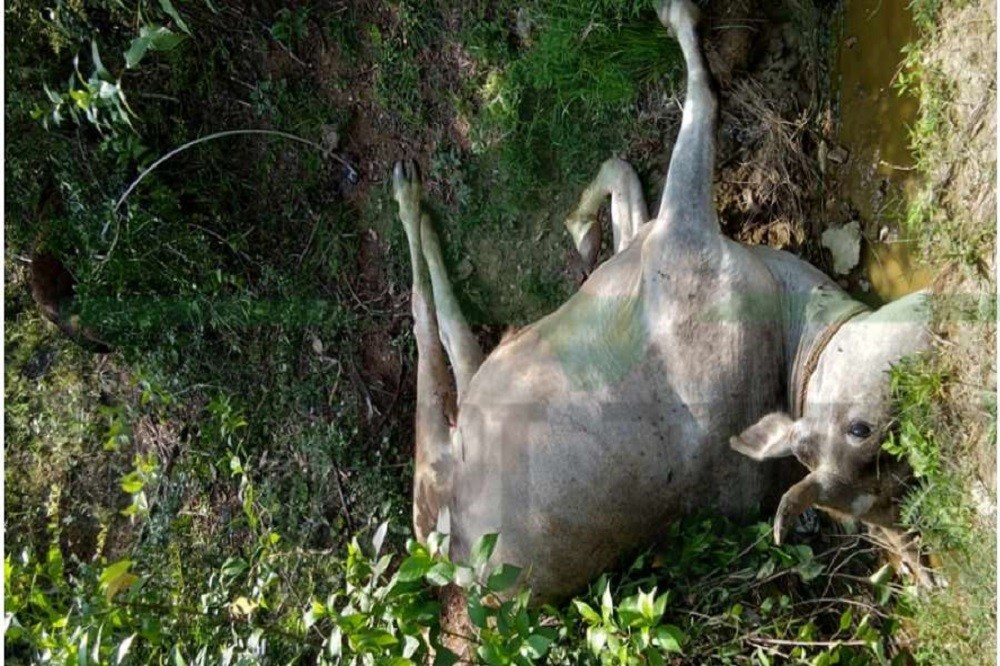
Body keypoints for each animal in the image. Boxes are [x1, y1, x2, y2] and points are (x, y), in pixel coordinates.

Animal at [390, 0, 928, 600]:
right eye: (864, 433)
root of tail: (459, 569)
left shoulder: (674, 230)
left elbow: (693, 104)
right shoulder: (659, 239)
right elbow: (640, 157)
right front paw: (581, 228)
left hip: (442, 463)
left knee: (437, 336)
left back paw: (410, 196)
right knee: (453, 347)